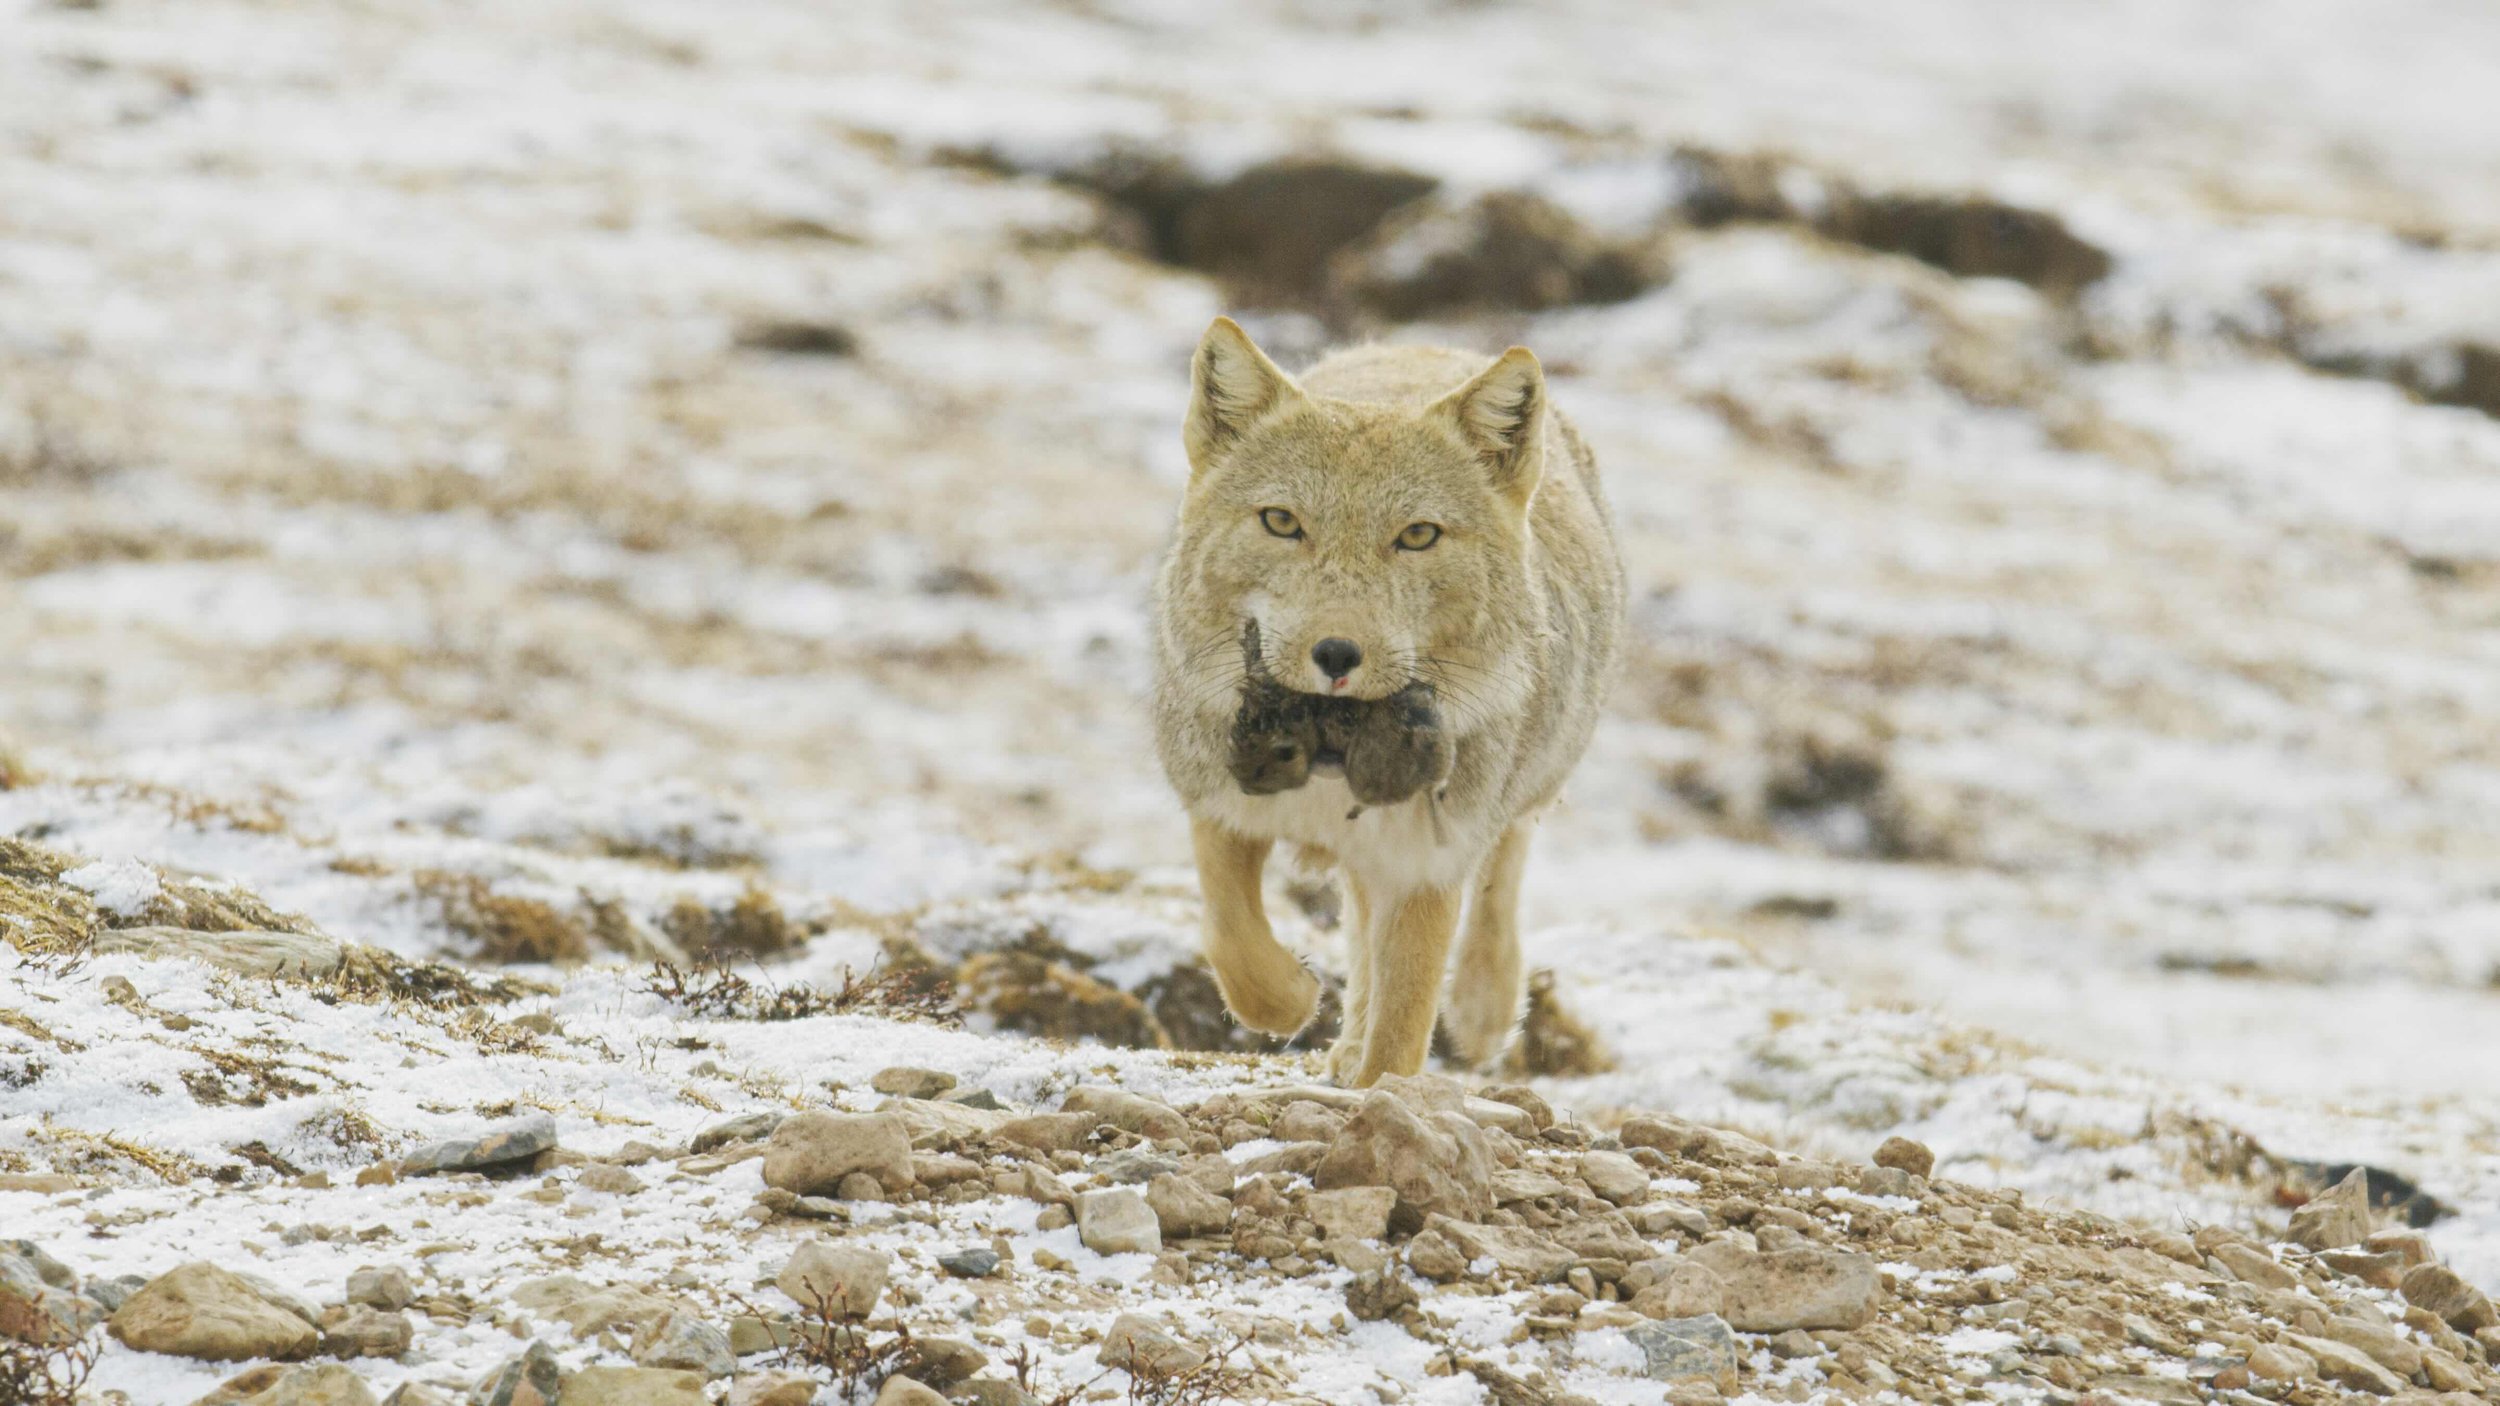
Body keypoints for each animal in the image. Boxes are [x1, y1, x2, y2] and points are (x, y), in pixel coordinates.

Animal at [1151, 317, 1624, 1086]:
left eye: (1418, 536)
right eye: (1281, 522)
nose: (1336, 655)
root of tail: (1427, 345)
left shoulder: (1425, 866)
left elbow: (1404, 1021)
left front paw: (1383, 1095)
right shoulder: (1218, 806)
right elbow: (1232, 938)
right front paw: (1294, 998)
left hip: (1517, 793)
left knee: (1503, 872)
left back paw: (1484, 1008)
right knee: (1359, 919)